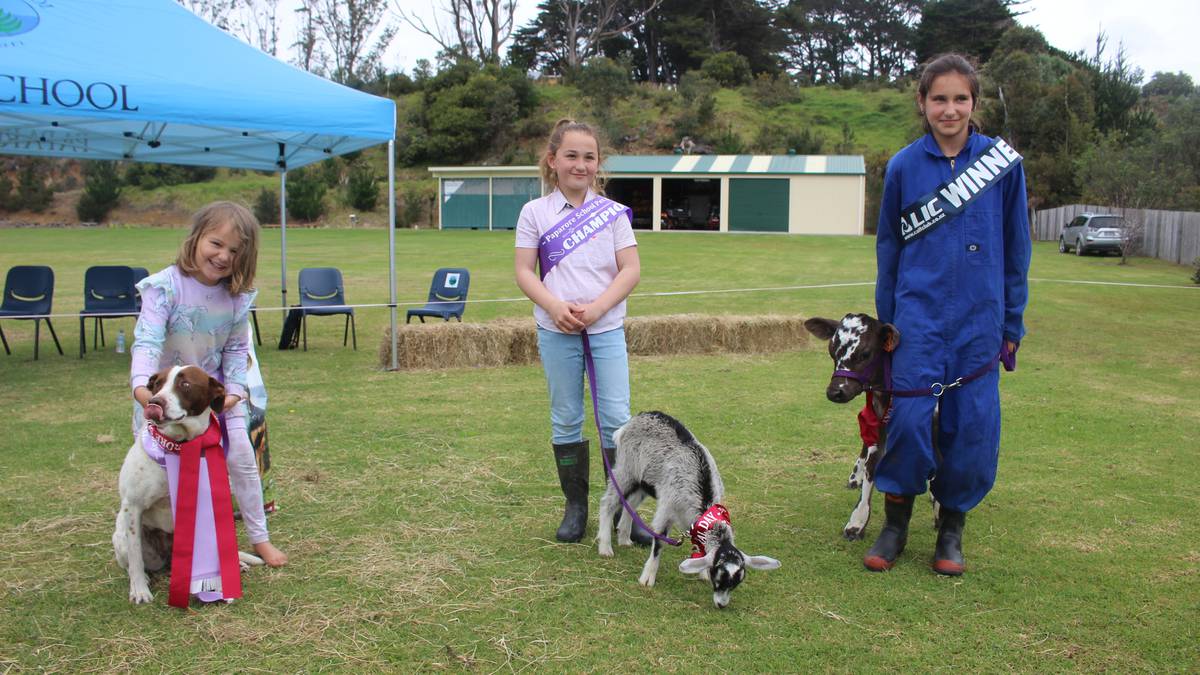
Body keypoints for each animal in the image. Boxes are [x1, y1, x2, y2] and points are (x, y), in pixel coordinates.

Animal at [112, 365, 262, 600]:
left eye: (185, 384)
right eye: (157, 384)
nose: (155, 402)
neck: (179, 446)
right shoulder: (133, 506)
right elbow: (136, 557)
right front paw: (140, 591)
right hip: (122, 540)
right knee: (132, 560)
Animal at [597, 410, 782, 610]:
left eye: (736, 582)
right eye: (718, 576)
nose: (721, 604)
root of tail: (639, 417)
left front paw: (700, 570)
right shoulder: (666, 510)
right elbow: (659, 542)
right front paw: (647, 578)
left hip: (644, 481)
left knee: (629, 504)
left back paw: (624, 538)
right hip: (626, 469)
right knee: (608, 502)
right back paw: (605, 547)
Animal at [801, 312, 940, 538]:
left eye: (865, 353)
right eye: (832, 352)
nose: (835, 392)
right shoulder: (880, 428)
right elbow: (871, 466)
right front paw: (857, 521)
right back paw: (854, 476)